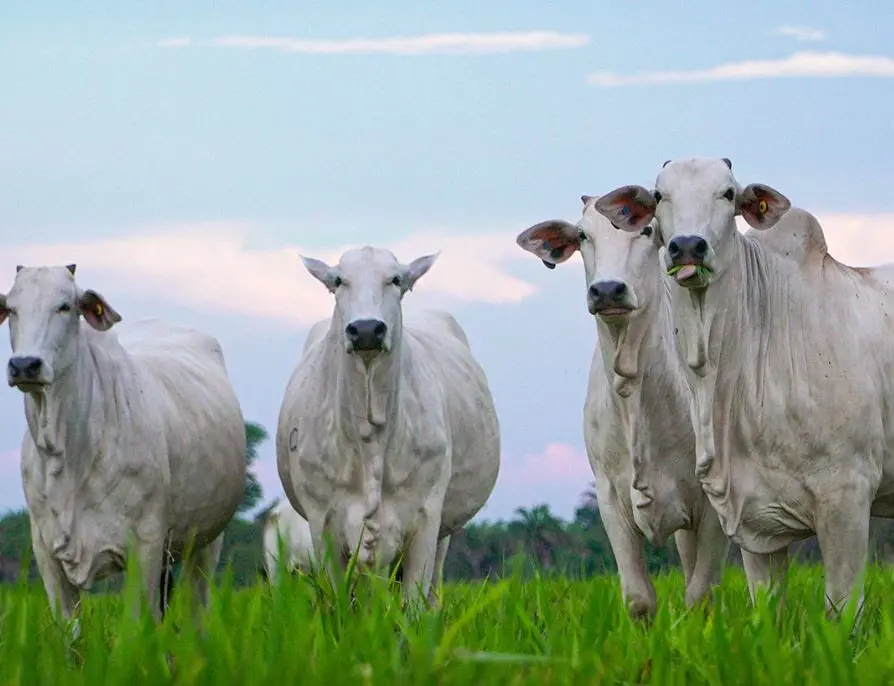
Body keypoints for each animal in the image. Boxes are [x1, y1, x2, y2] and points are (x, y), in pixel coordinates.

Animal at [0, 266, 245, 628]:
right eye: (12, 309)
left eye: (64, 306)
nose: (25, 365)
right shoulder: (46, 554)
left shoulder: (145, 545)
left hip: (205, 545)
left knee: (197, 611)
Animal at [276, 246, 500, 608]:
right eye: (338, 280)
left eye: (395, 279)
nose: (367, 329)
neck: (371, 439)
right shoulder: (322, 522)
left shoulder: (426, 518)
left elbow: (414, 605)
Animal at [516, 196, 732, 620]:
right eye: (583, 235)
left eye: (646, 230)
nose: (607, 290)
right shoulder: (609, 499)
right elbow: (639, 598)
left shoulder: (712, 501)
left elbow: (700, 595)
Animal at [596, 159, 894, 616]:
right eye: (659, 195)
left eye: (729, 193)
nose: (688, 246)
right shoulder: (754, 519)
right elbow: (768, 609)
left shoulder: (848, 493)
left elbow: (840, 611)